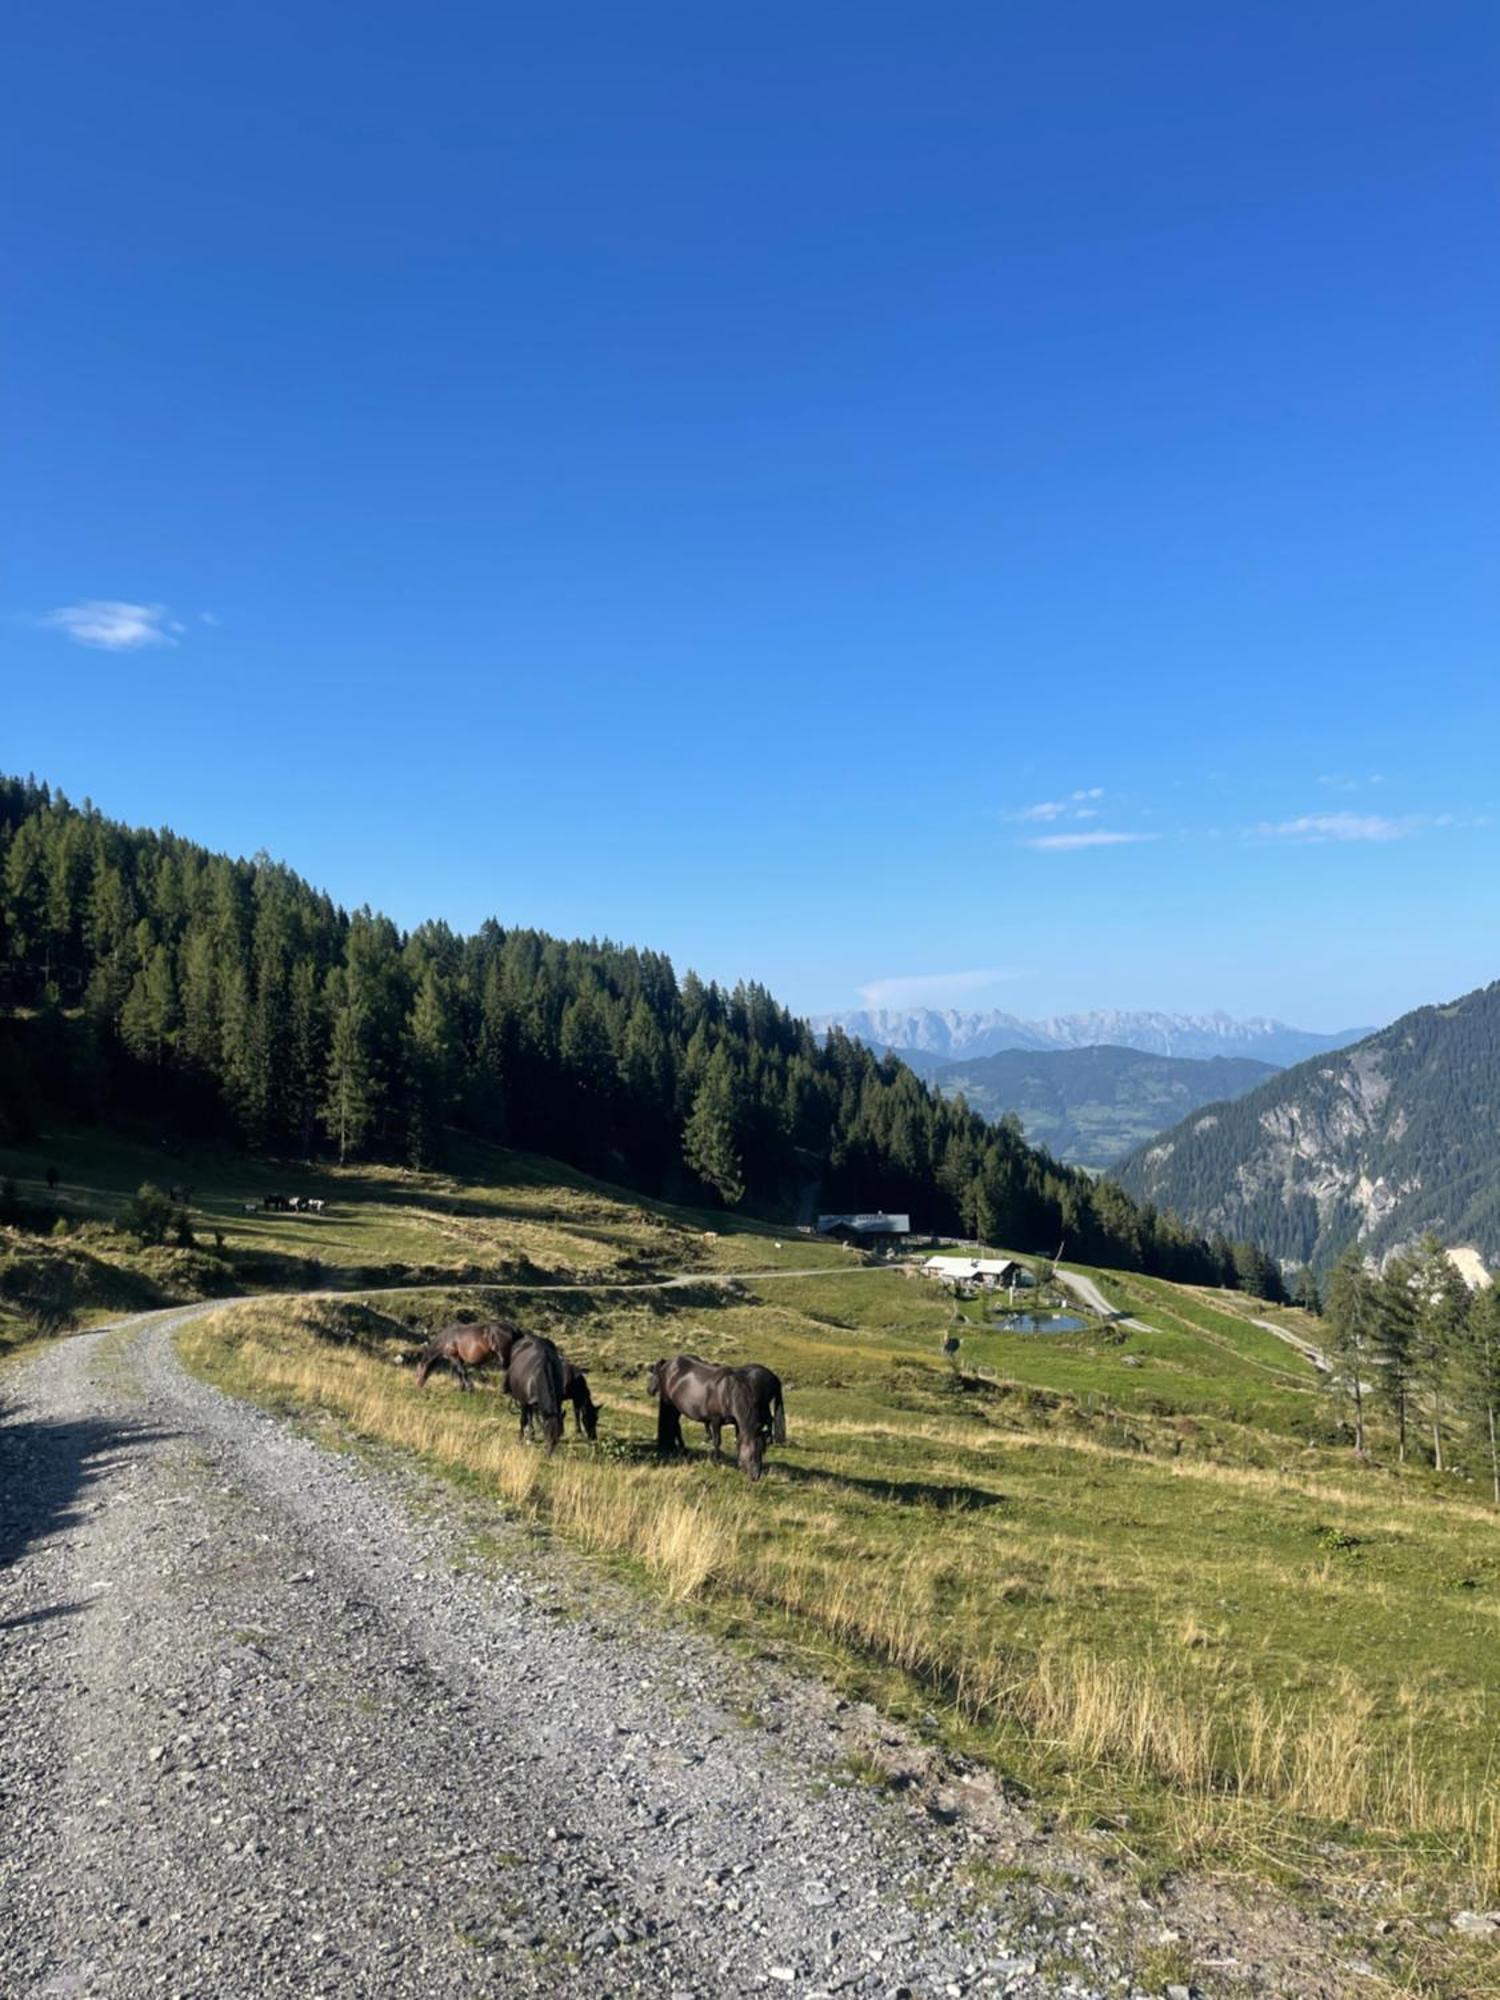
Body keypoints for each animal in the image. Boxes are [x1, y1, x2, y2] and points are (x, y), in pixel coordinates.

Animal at [512, 1336, 568, 1464]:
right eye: (546, 1433)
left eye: (560, 1434)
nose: (549, 1455)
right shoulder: (524, 1402)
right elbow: (523, 1420)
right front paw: (520, 1440)